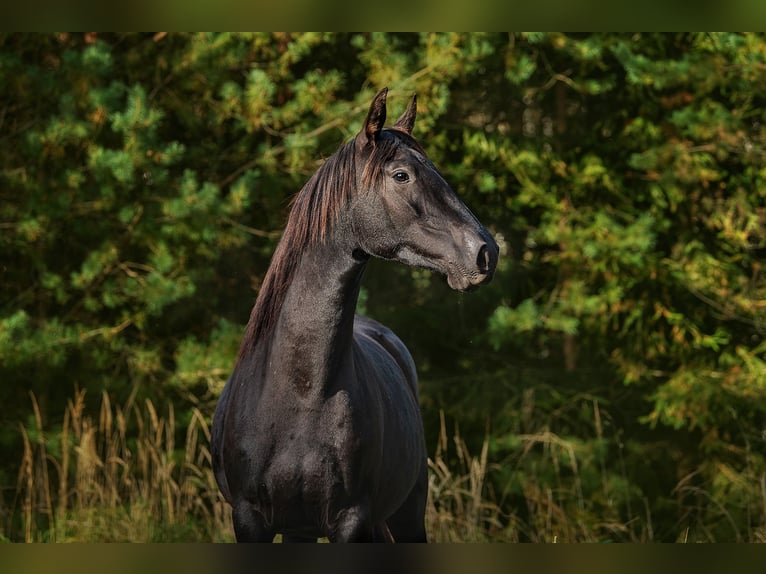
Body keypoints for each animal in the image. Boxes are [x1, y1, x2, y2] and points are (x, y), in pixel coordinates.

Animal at [211, 88, 499, 542]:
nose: (486, 252)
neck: (300, 391)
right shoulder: (250, 520)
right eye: (401, 175)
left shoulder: (351, 519)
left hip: (406, 515)